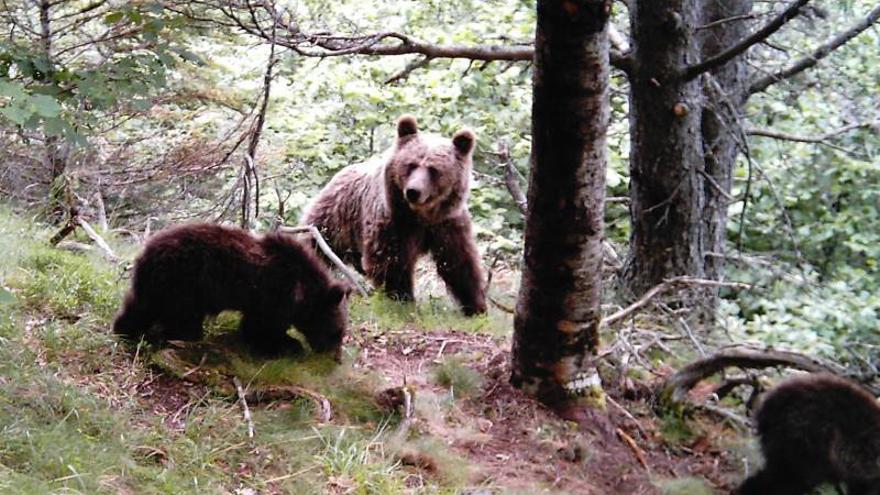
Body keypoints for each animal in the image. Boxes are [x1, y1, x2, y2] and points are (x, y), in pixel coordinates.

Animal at [112, 225, 350, 360]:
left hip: (159, 286)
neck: (302, 294)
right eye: (337, 332)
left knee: (139, 307)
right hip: (184, 283)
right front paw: (287, 345)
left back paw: (127, 330)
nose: (335, 358)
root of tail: (146, 253)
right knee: (181, 318)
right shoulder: (274, 295)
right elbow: (262, 328)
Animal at [302, 115, 488, 316]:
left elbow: (459, 262)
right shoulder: (393, 221)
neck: (422, 215)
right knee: (315, 249)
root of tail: (338, 175)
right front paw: (402, 300)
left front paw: (476, 306)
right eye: (411, 165)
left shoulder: (447, 223)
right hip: (332, 222)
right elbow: (391, 261)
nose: (413, 191)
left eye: (433, 169)